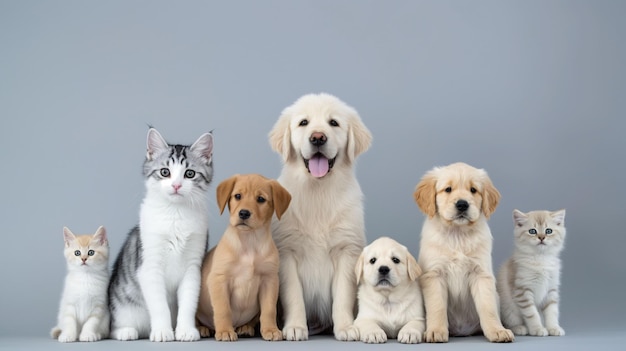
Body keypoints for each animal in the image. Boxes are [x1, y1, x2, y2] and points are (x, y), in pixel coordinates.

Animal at [108, 128, 213, 342]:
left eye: (189, 174)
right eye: (165, 172)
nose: (176, 186)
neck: (175, 214)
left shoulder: (193, 268)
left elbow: (188, 304)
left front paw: (185, 330)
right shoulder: (149, 267)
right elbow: (159, 306)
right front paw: (163, 331)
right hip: (123, 306)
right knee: (113, 328)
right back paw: (126, 331)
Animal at [195, 175, 290, 342]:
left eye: (261, 199)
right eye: (238, 196)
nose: (244, 213)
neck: (249, 241)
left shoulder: (270, 280)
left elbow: (269, 310)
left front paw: (270, 329)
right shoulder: (219, 279)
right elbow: (223, 309)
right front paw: (225, 331)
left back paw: (244, 328)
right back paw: (203, 328)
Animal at [266, 93, 370, 340]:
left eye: (334, 123)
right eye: (303, 123)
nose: (318, 138)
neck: (318, 190)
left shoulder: (346, 251)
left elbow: (342, 296)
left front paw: (346, 328)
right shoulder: (287, 253)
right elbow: (293, 295)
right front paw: (295, 327)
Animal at [412, 162, 510, 344]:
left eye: (473, 190)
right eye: (448, 189)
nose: (462, 204)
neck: (457, 234)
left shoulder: (481, 274)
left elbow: (488, 307)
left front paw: (497, 331)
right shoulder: (434, 274)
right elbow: (437, 306)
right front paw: (436, 331)